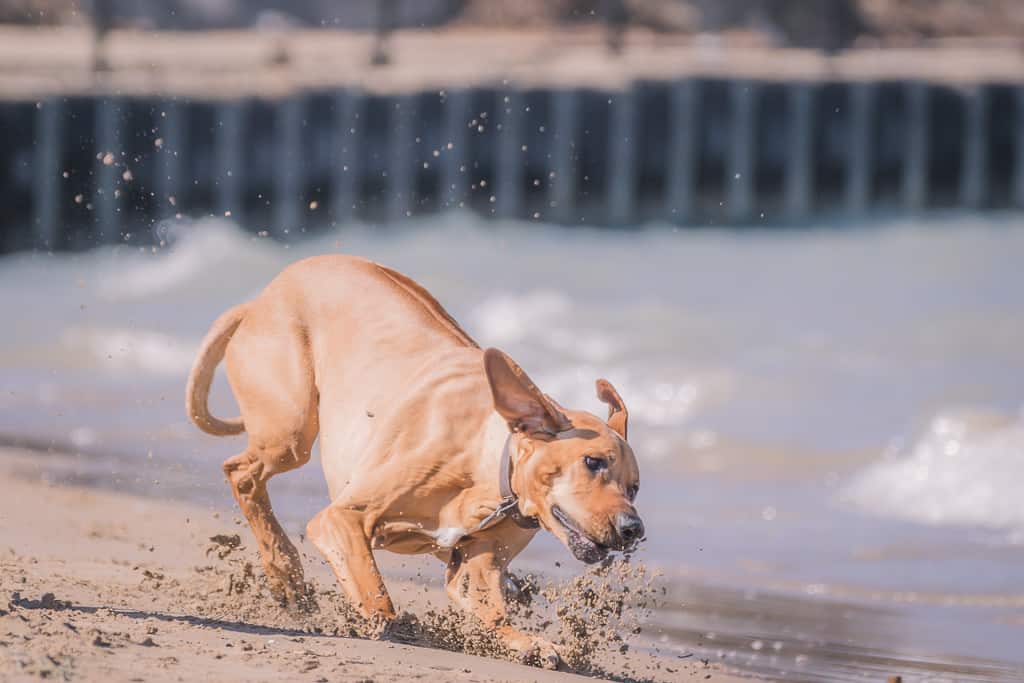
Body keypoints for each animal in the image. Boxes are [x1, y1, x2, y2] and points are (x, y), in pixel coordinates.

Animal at [188, 254, 643, 667]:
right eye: (593, 462)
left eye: (634, 487)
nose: (633, 528)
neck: (486, 466)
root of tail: (260, 300)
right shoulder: (342, 519)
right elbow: (375, 592)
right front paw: (398, 626)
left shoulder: (479, 566)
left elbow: (486, 605)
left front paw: (531, 643)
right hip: (291, 428)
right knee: (242, 472)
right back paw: (285, 573)